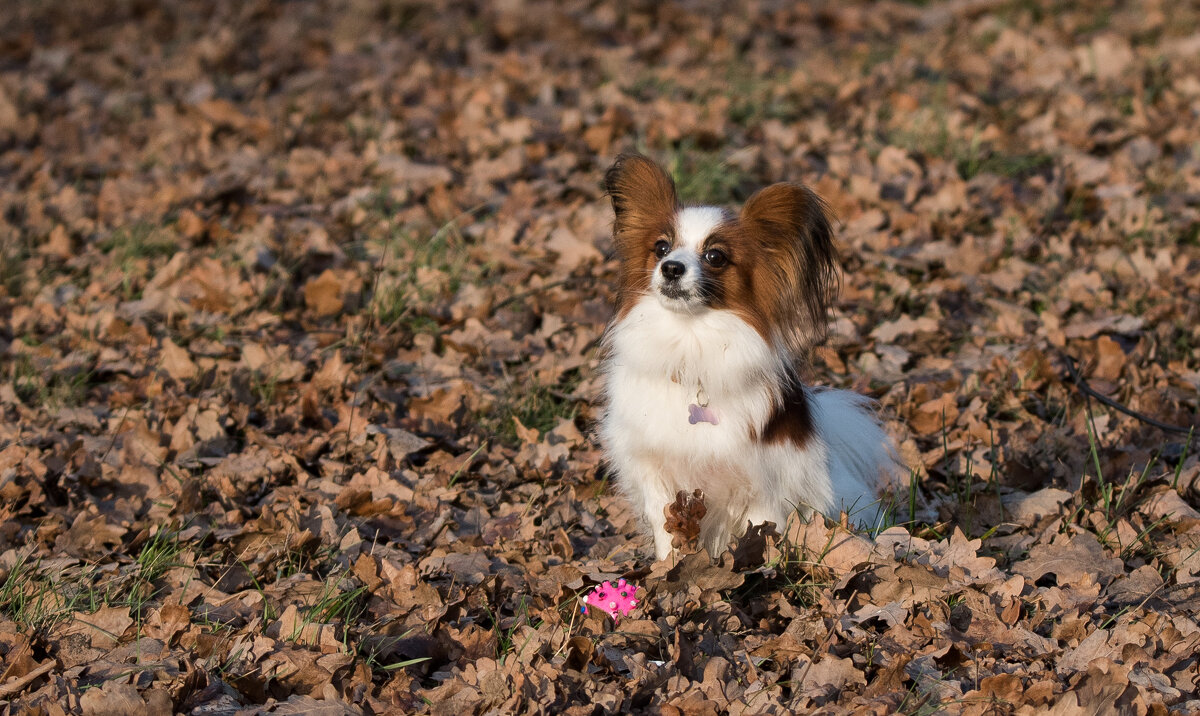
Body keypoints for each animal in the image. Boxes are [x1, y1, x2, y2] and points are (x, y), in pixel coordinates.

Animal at [600, 153, 902, 561]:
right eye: (661, 248)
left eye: (715, 256)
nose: (671, 268)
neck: (690, 342)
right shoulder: (656, 472)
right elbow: (667, 534)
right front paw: (667, 569)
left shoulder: (762, 482)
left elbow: (760, 533)